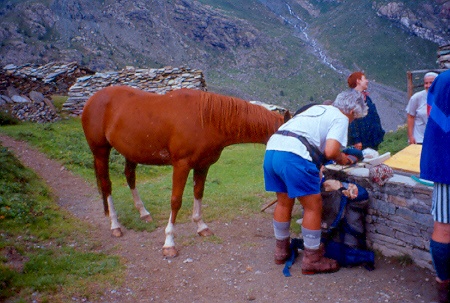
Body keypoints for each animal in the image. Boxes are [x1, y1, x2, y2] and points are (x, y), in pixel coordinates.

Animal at [81, 86, 290, 258]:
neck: (206, 119)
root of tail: (93, 99)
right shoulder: (181, 165)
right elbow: (176, 201)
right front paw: (169, 243)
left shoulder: (203, 165)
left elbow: (198, 193)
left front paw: (201, 226)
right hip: (100, 151)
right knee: (106, 185)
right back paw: (115, 225)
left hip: (130, 152)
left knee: (130, 177)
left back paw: (143, 213)